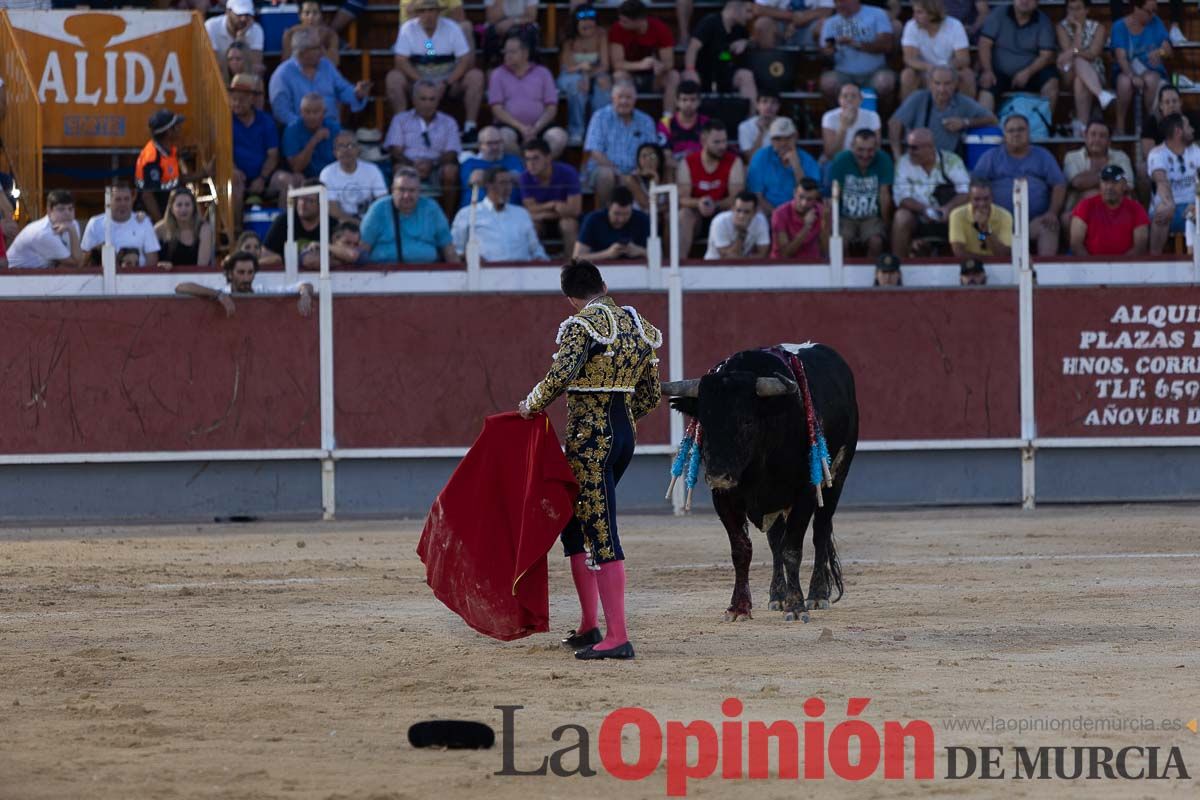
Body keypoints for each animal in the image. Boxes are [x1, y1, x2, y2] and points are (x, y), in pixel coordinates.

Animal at [662, 347, 859, 623]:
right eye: (704, 421)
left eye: (747, 421)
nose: (718, 475)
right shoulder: (723, 497)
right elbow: (742, 550)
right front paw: (738, 607)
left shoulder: (806, 492)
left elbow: (792, 549)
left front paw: (796, 607)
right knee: (776, 542)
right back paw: (777, 595)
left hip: (836, 478)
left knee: (820, 531)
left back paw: (817, 595)